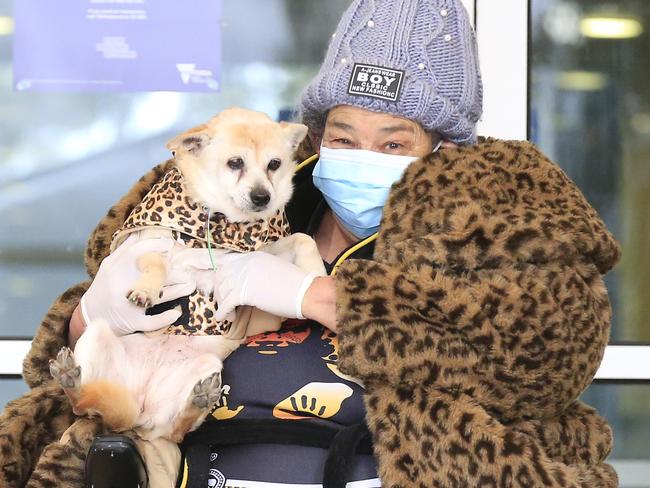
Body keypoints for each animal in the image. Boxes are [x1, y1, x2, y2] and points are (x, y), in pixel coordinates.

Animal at [48, 107, 326, 488]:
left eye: (274, 164)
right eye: (235, 163)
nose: (262, 197)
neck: (224, 225)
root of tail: (139, 413)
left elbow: (301, 240)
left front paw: (315, 273)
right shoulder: (148, 246)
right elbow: (157, 262)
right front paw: (146, 290)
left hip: (207, 370)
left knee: (178, 427)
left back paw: (198, 400)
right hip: (96, 335)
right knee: (82, 405)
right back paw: (71, 378)